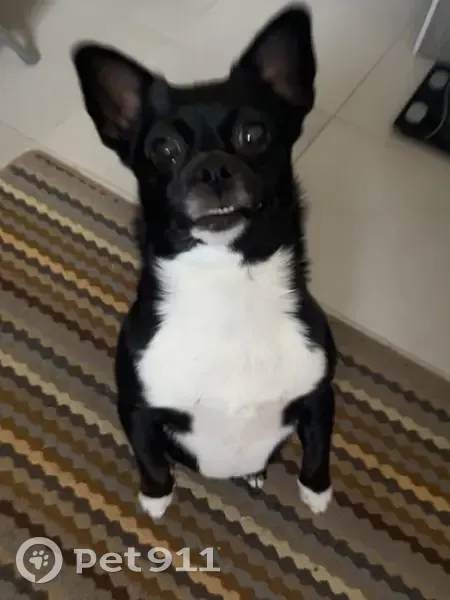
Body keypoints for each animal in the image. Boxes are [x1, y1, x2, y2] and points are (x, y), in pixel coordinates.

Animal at [72, 3, 337, 520]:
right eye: (163, 151)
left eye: (253, 135)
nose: (212, 168)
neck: (227, 282)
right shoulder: (138, 411)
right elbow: (152, 460)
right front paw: (156, 498)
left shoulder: (319, 398)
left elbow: (317, 450)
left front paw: (317, 492)